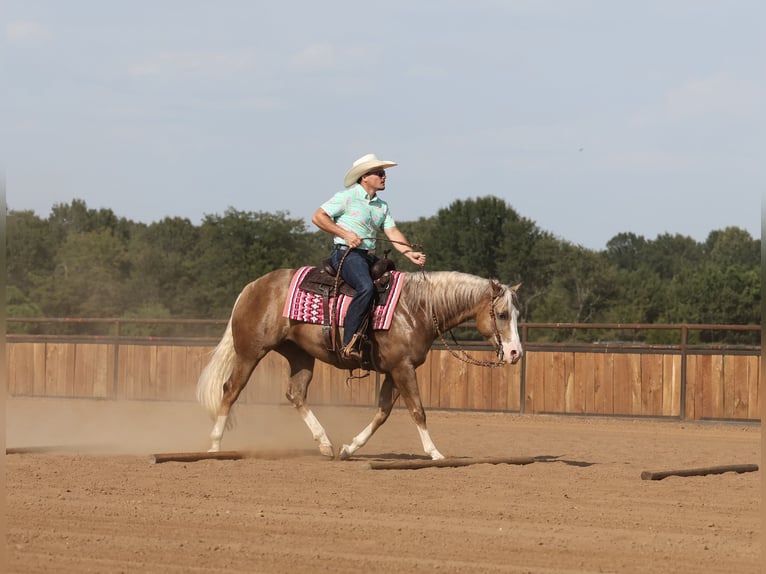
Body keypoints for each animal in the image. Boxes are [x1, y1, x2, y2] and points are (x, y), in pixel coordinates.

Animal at [196, 268, 523, 460]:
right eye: (503, 314)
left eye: (517, 314)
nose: (515, 353)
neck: (416, 308)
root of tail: (252, 287)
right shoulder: (403, 368)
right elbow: (418, 410)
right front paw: (435, 453)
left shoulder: (394, 370)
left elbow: (382, 413)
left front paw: (349, 447)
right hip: (251, 352)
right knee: (230, 390)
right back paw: (214, 446)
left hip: (300, 355)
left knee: (296, 394)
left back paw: (325, 443)